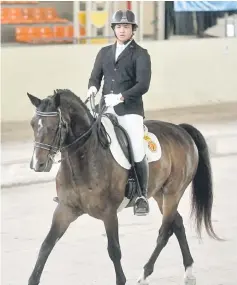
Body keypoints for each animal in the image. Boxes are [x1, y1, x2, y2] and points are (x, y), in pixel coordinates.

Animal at [26, 89, 221, 284]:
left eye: (56, 126)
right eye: (33, 124)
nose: (37, 164)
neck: (84, 158)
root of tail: (181, 130)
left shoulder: (109, 213)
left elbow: (114, 250)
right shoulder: (65, 209)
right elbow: (46, 245)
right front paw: (33, 278)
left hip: (173, 193)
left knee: (165, 232)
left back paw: (145, 274)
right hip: (160, 194)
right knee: (177, 224)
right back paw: (188, 271)